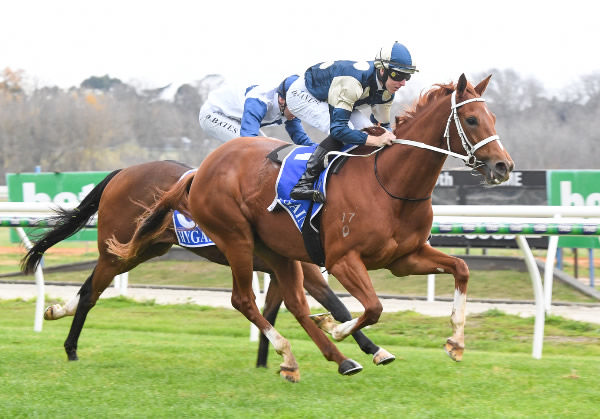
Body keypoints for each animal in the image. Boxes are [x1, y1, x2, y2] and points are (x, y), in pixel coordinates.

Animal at [21, 159, 394, 370]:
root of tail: (122, 172)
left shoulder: (282, 268)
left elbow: (280, 309)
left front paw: (269, 359)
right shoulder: (307, 270)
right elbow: (337, 307)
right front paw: (371, 349)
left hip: (141, 249)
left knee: (89, 287)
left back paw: (58, 312)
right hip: (120, 249)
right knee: (91, 294)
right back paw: (71, 348)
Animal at [110, 74, 512, 382]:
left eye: (493, 116)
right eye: (471, 119)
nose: (503, 166)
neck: (389, 182)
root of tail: (200, 170)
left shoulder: (405, 258)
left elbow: (461, 268)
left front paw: (456, 342)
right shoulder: (341, 259)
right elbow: (373, 307)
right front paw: (335, 327)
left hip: (278, 251)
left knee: (295, 303)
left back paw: (334, 360)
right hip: (236, 238)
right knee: (244, 299)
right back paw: (292, 354)